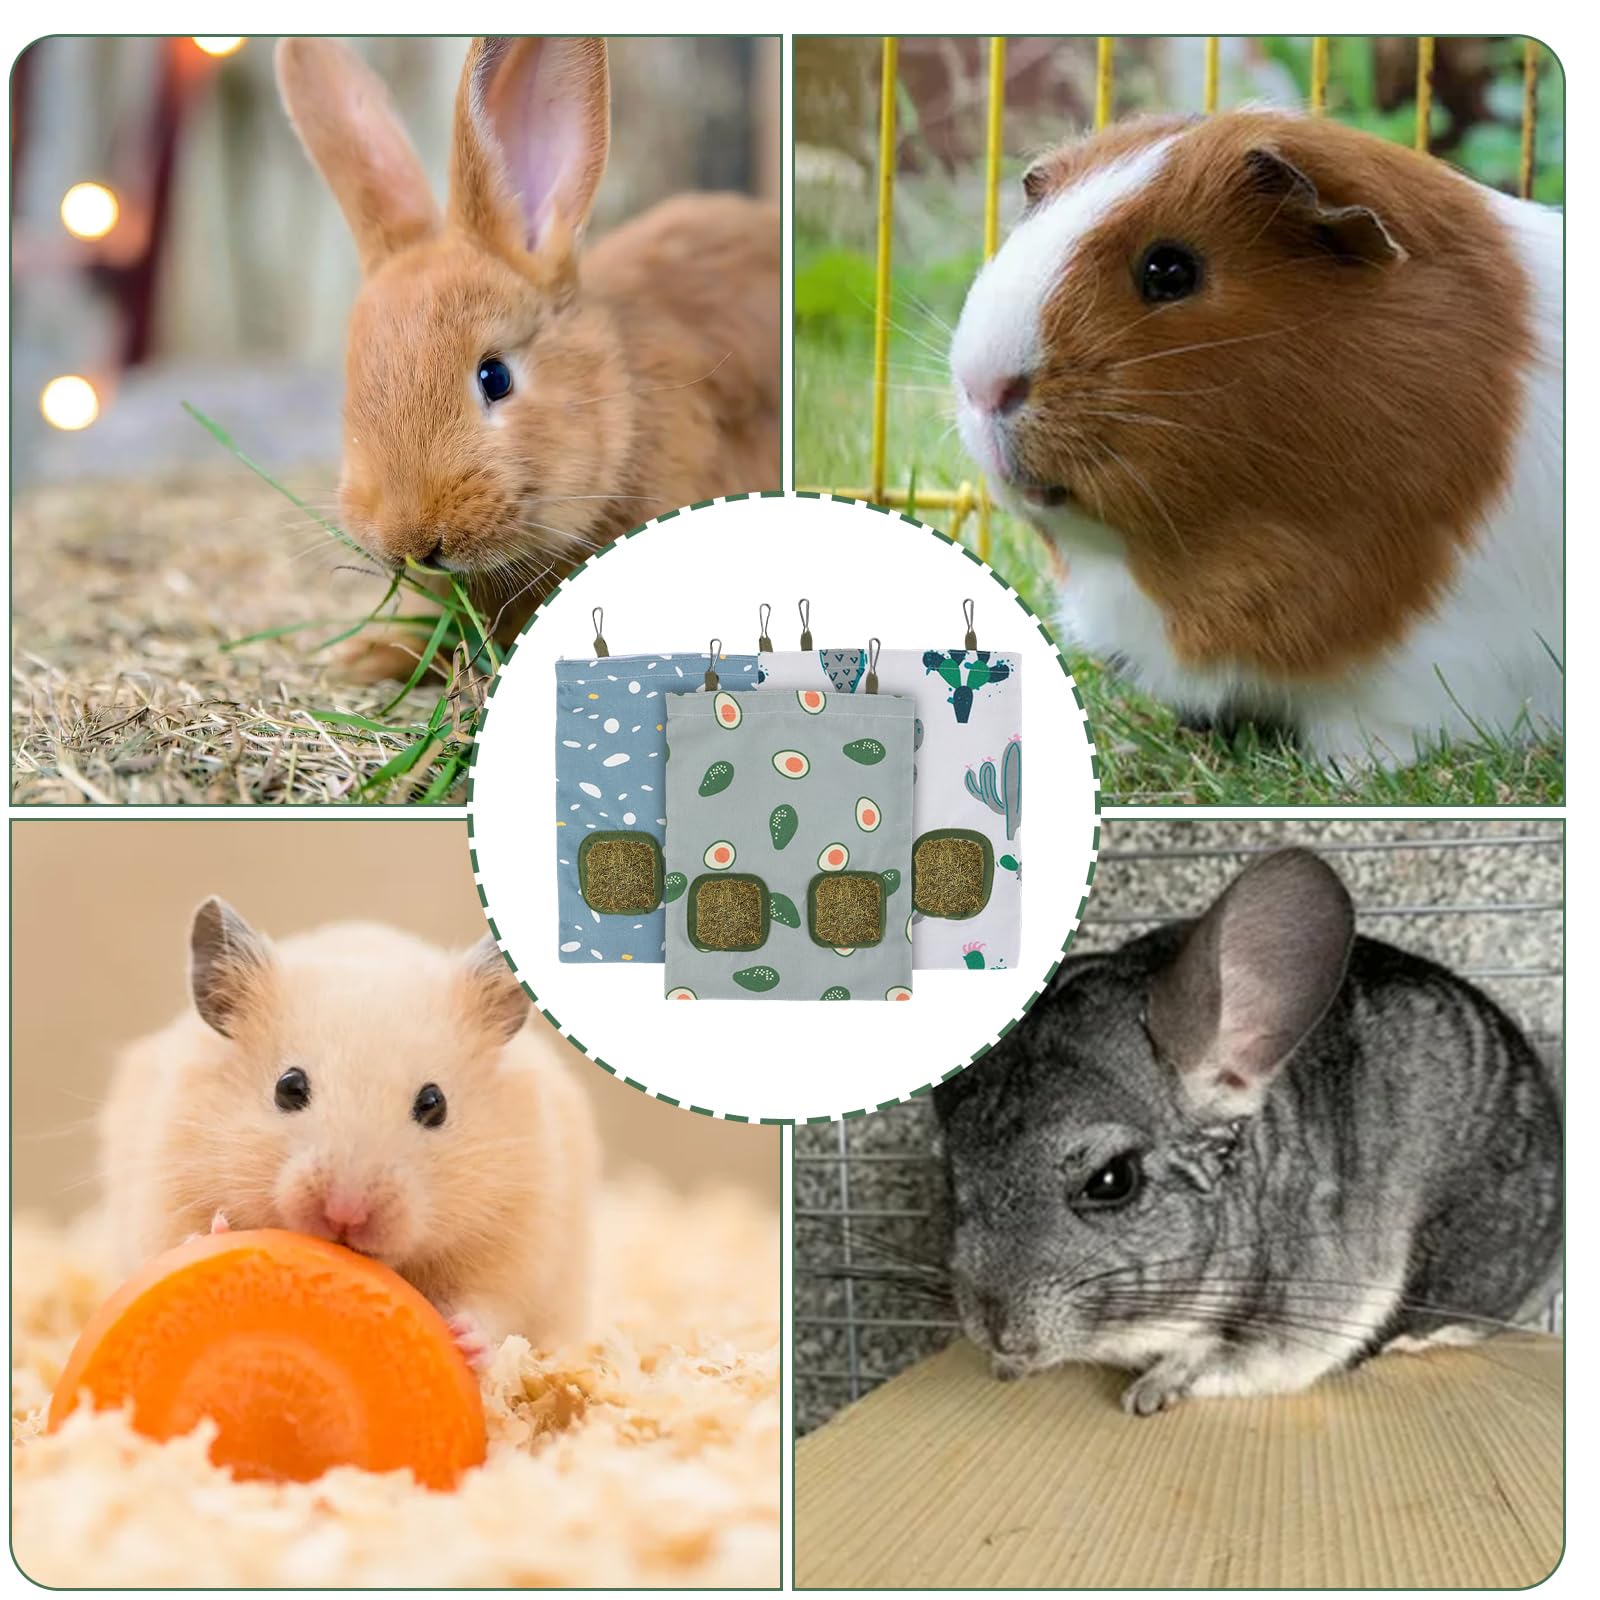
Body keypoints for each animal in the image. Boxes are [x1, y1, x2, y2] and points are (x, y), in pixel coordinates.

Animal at [100, 899, 598, 1365]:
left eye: (433, 1103)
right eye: (288, 1087)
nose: (345, 1214)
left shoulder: (520, 1229)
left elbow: (493, 1302)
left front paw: (465, 1340)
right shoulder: (164, 1179)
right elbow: (170, 1242)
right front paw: (214, 1232)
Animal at [931, 848, 1562, 1414]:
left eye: (1112, 1180)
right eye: (952, 1174)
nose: (996, 1333)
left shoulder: (1316, 1301)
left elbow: (1227, 1357)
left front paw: (1151, 1390)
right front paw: (1007, 1367)